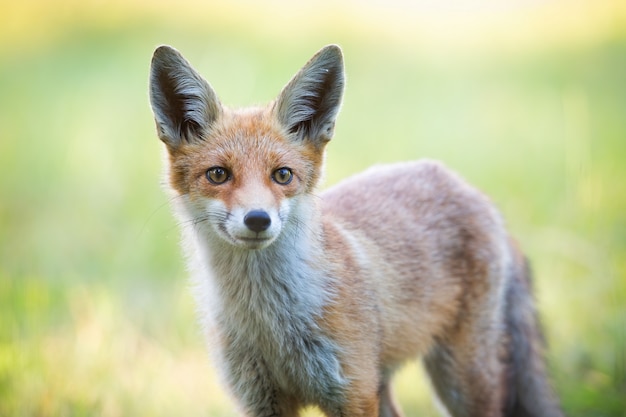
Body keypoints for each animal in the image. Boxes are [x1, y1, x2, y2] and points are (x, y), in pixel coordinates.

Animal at [149, 44, 564, 414]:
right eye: (218, 174)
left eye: (282, 175)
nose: (257, 219)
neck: (271, 325)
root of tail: (470, 188)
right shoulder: (261, 401)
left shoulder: (352, 392)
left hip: (460, 378)